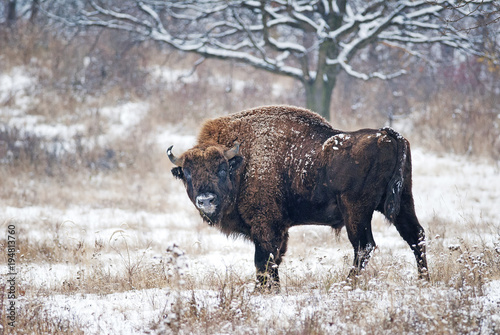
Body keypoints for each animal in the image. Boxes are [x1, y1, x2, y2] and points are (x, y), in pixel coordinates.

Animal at [168, 106, 430, 290]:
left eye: (222, 168)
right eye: (187, 173)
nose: (205, 200)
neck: (244, 163)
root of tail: (388, 136)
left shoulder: (266, 227)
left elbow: (263, 260)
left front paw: (261, 291)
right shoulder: (279, 230)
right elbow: (274, 260)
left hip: (357, 211)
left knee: (364, 246)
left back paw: (346, 285)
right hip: (403, 202)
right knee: (415, 236)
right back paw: (424, 281)